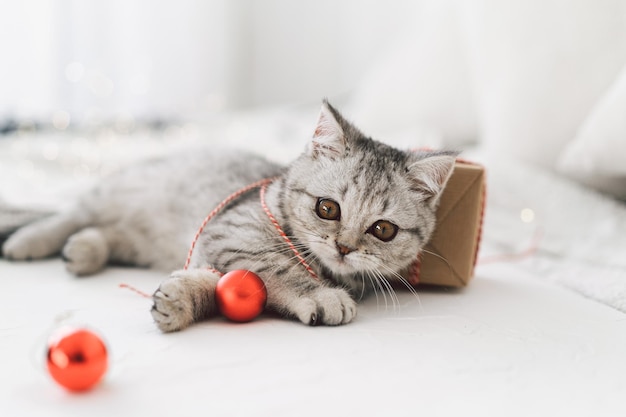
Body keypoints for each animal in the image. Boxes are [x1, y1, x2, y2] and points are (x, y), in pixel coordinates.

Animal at [2, 99, 456, 330]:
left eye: (383, 230)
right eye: (327, 208)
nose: (344, 247)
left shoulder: (216, 251)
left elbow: (222, 287)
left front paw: (181, 300)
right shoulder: (234, 232)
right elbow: (279, 267)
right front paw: (320, 294)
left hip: (139, 239)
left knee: (106, 232)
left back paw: (83, 250)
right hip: (117, 194)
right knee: (71, 212)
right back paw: (30, 241)